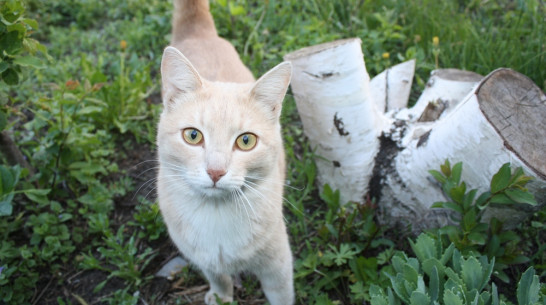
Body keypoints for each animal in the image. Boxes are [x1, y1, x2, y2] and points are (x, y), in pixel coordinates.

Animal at [156, 0, 294, 304]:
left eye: (246, 141)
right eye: (193, 135)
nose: (216, 171)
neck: (216, 215)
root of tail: (199, 33)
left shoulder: (278, 267)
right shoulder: (205, 260)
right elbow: (218, 278)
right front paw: (221, 296)